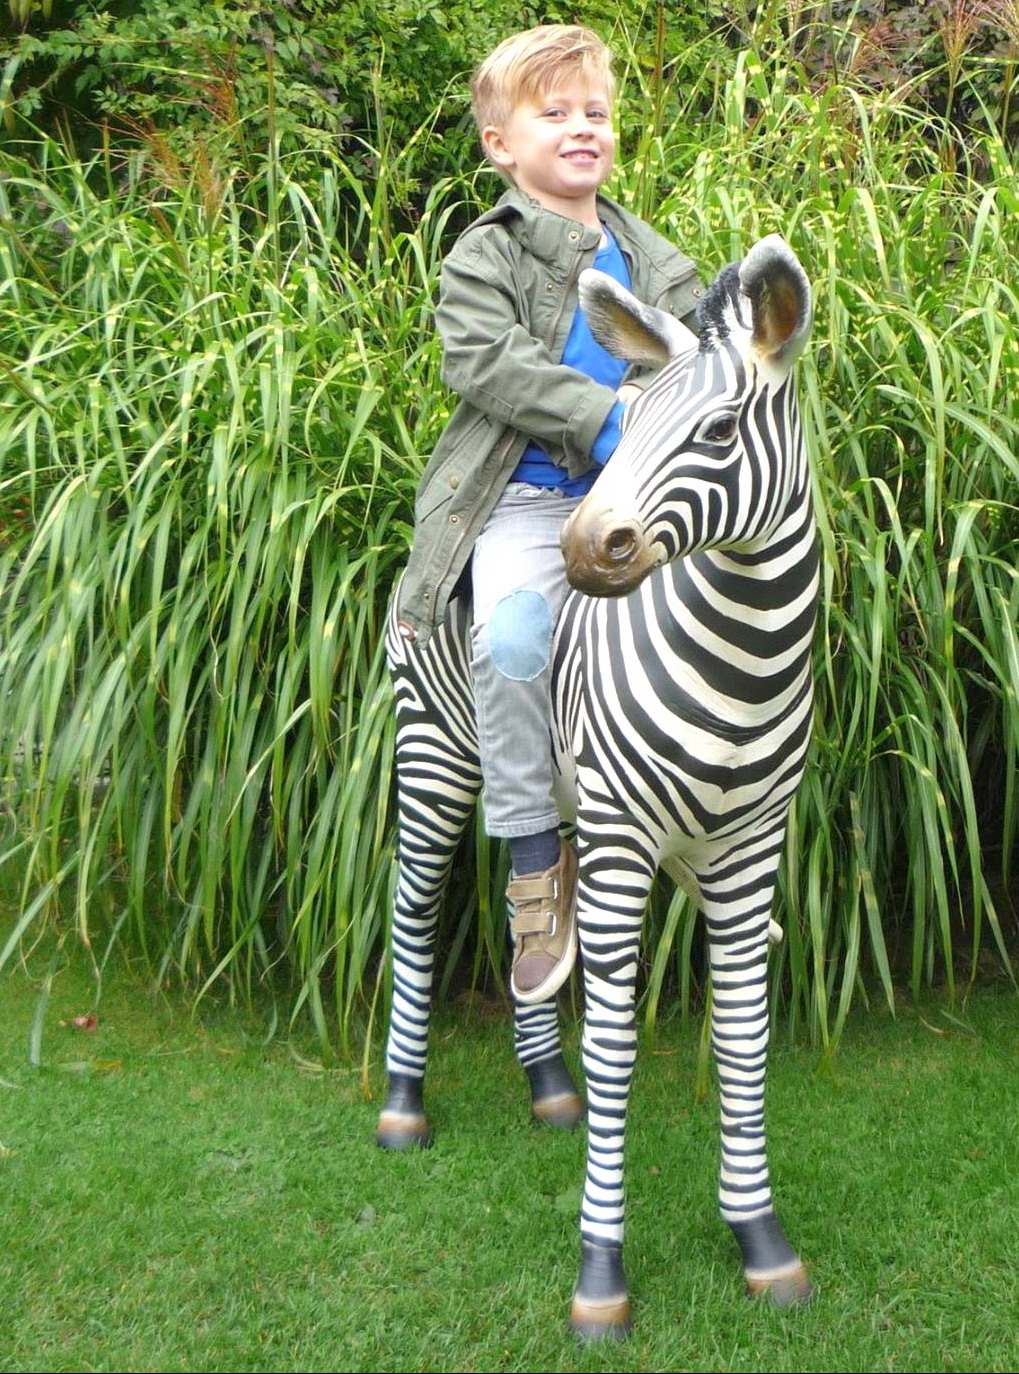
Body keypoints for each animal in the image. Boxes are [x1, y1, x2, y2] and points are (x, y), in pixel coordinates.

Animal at [376, 233, 817, 1341]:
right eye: (626, 419)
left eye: (716, 430)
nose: (582, 549)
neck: (743, 661)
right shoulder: (623, 844)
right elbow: (618, 1044)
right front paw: (600, 1272)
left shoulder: (749, 854)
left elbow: (741, 1040)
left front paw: (760, 1242)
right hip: (433, 753)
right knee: (414, 908)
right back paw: (402, 1106)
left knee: (523, 891)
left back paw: (546, 1087)